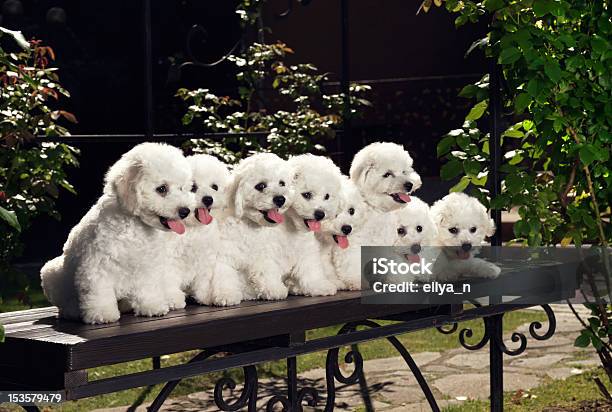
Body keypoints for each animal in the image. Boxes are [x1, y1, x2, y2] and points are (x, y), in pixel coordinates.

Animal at [41, 143, 194, 324]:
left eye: (182, 188)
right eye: (162, 189)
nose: (185, 211)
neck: (134, 225)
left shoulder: (146, 266)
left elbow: (147, 288)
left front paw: (151, 306)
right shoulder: (96, 266)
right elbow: (99, 292)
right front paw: (102, 313)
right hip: (51, 272)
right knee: (64, 302)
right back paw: (72, 311)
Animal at [207, 153, 296, 304]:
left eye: (282, 183)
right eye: (261, 186)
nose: (280, 199)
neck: (249, 226)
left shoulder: (264, 253)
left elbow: (267, 269)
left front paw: (273, 288)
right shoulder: (224, 255)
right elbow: (224, 274)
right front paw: (227, 294)